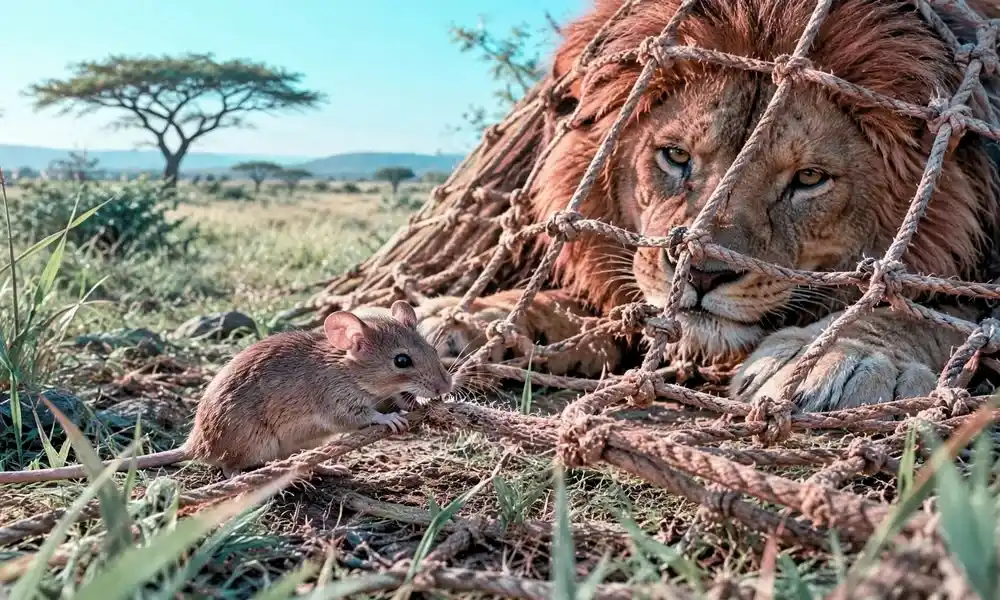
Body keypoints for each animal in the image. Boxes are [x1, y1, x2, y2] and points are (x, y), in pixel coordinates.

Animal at [417, 0, 1000, 412]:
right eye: (675, 156)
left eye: (809, 179)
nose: (701, 273)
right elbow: (577, 300)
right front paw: (468, 316)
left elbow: (934, 312)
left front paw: (841, 355)